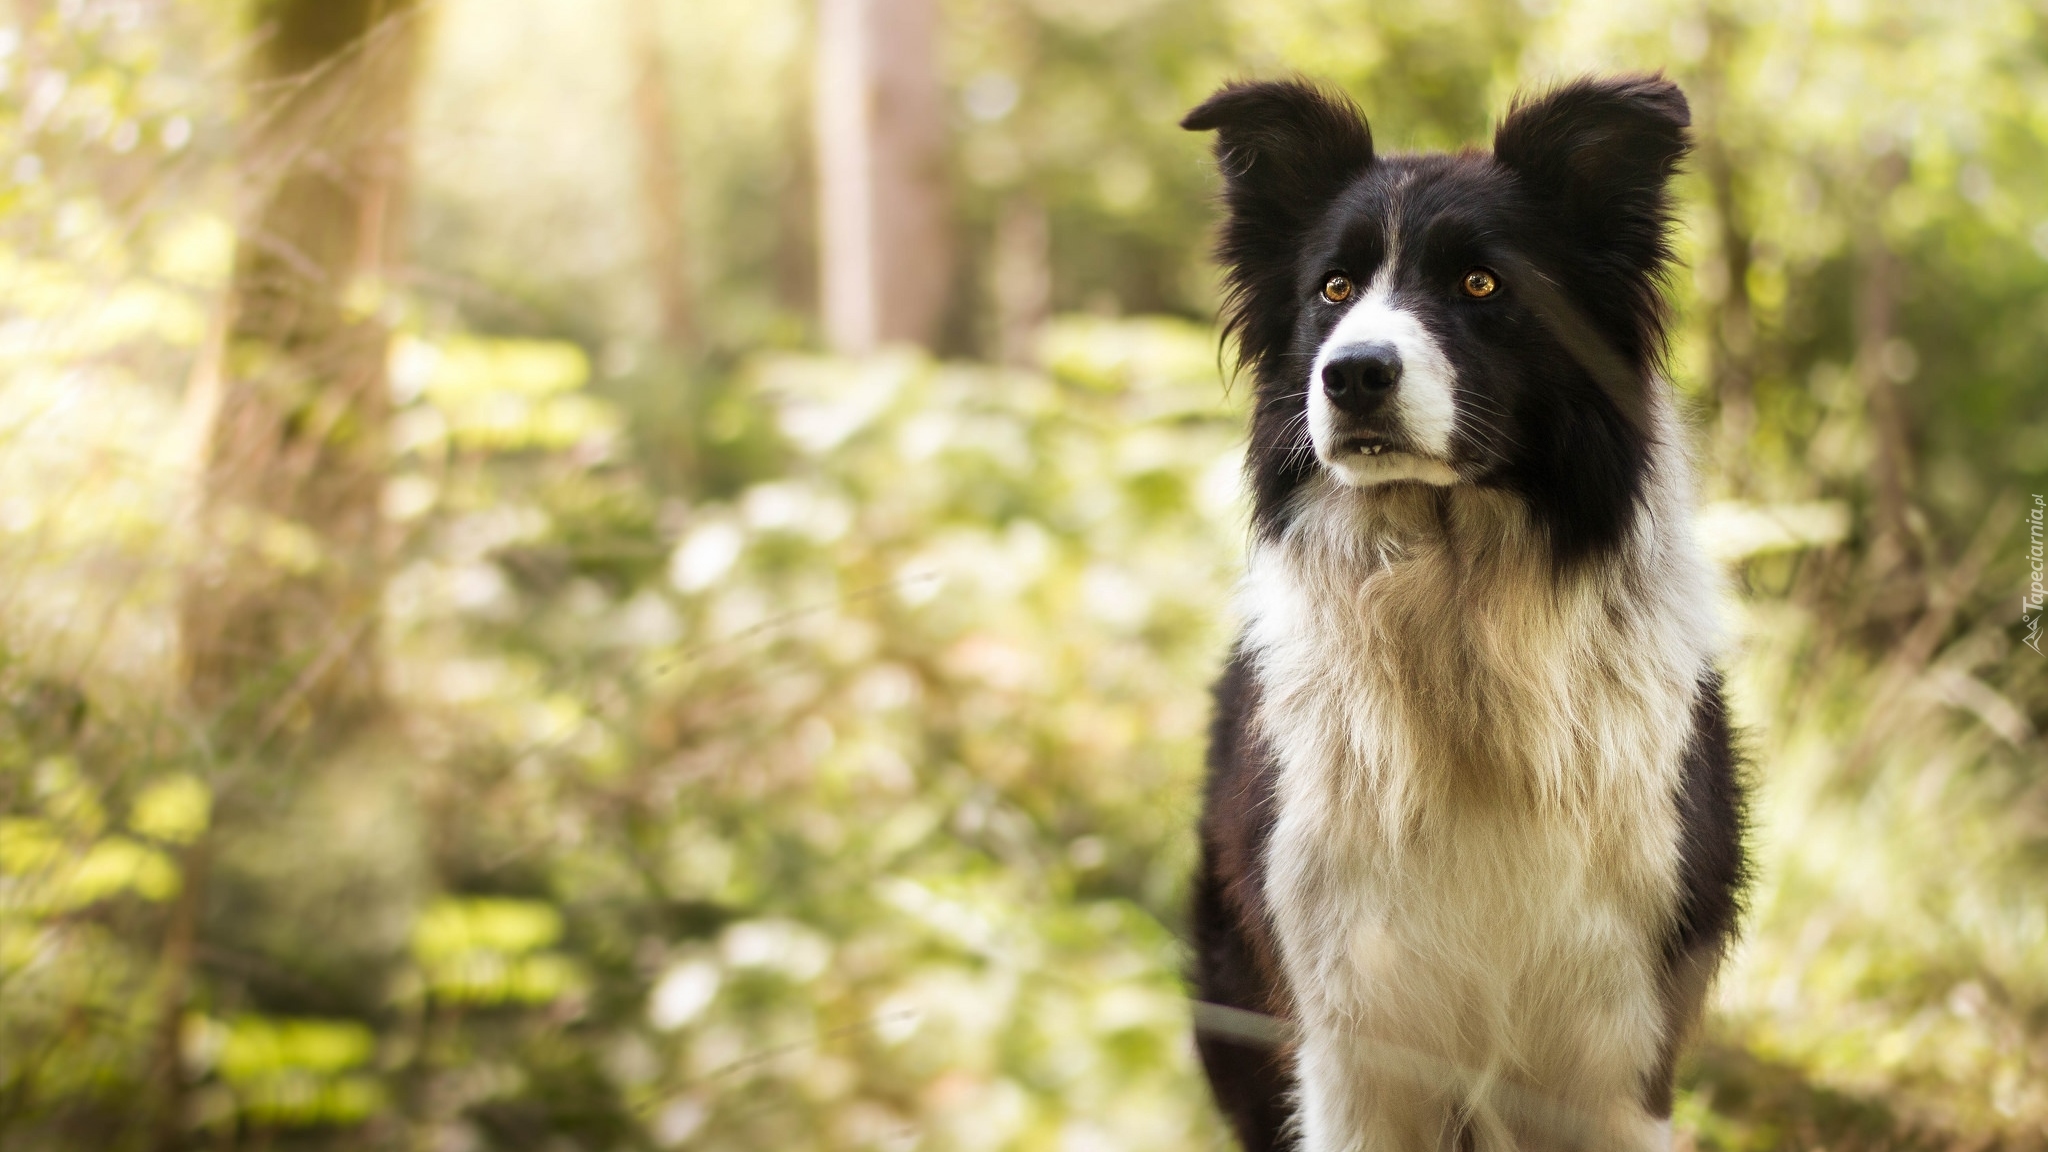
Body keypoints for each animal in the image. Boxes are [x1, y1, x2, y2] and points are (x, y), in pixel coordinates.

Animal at [1187, 76, 1744, 1139]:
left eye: (1481, 286)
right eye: (1332, 290)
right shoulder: (1353, 1045)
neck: (1455, 615)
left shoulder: (1612, 1056)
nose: (1353, 374)